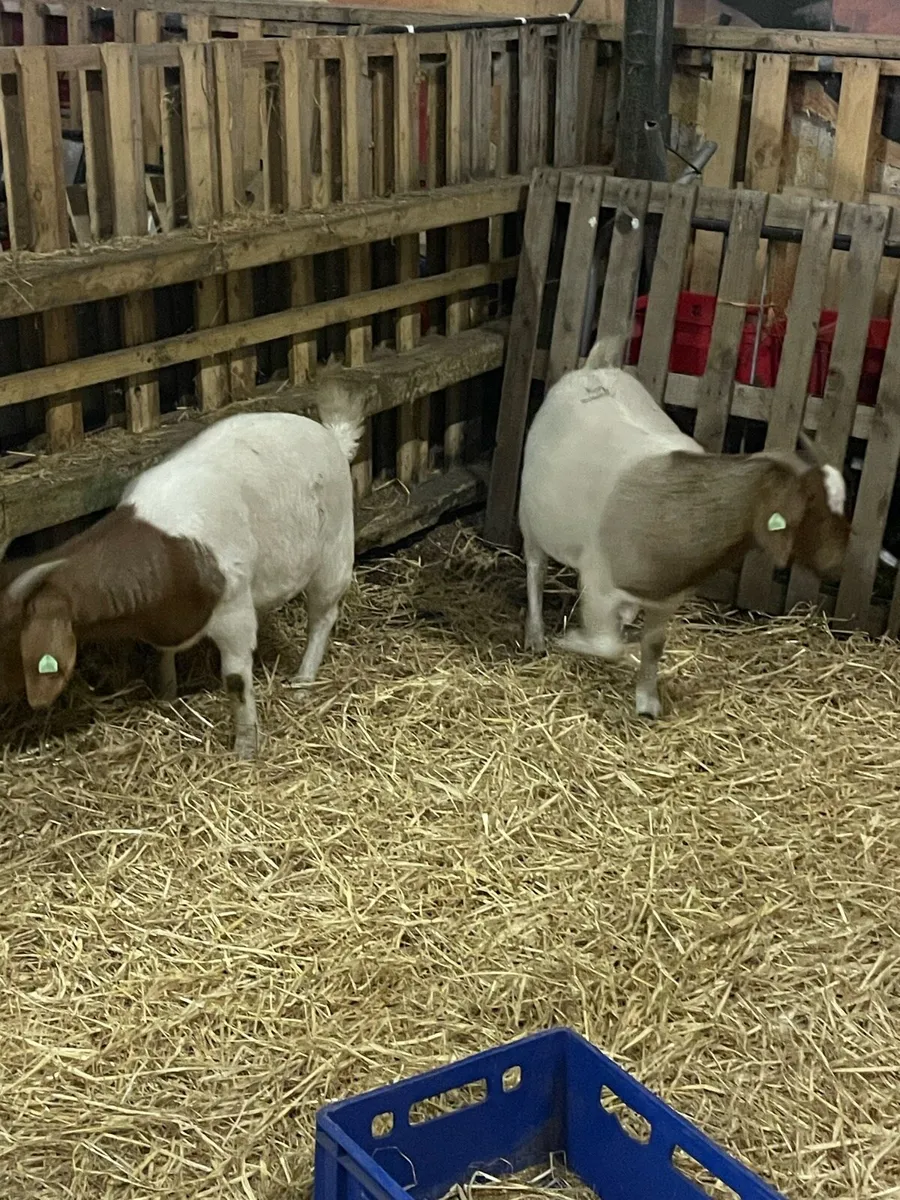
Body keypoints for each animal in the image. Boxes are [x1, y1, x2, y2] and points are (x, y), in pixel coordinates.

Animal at [0, 388, 363, 757]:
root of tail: (333, 436)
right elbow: (164, 654)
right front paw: (167, 697)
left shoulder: (234, 613)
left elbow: (236, 681)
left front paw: (245, 749)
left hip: (335, 554)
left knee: (322, 616)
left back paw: (303, 682)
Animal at [518, 338, 850, 718]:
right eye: (810, 508)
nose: (837, 565)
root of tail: (595, 368)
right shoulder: (598, 580)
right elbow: (606, 645)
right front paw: (574, 641)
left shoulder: (668, 599)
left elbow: (653, 644)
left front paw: (647, 702)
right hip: (531, 519)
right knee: (535, 570)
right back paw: (536, 635)